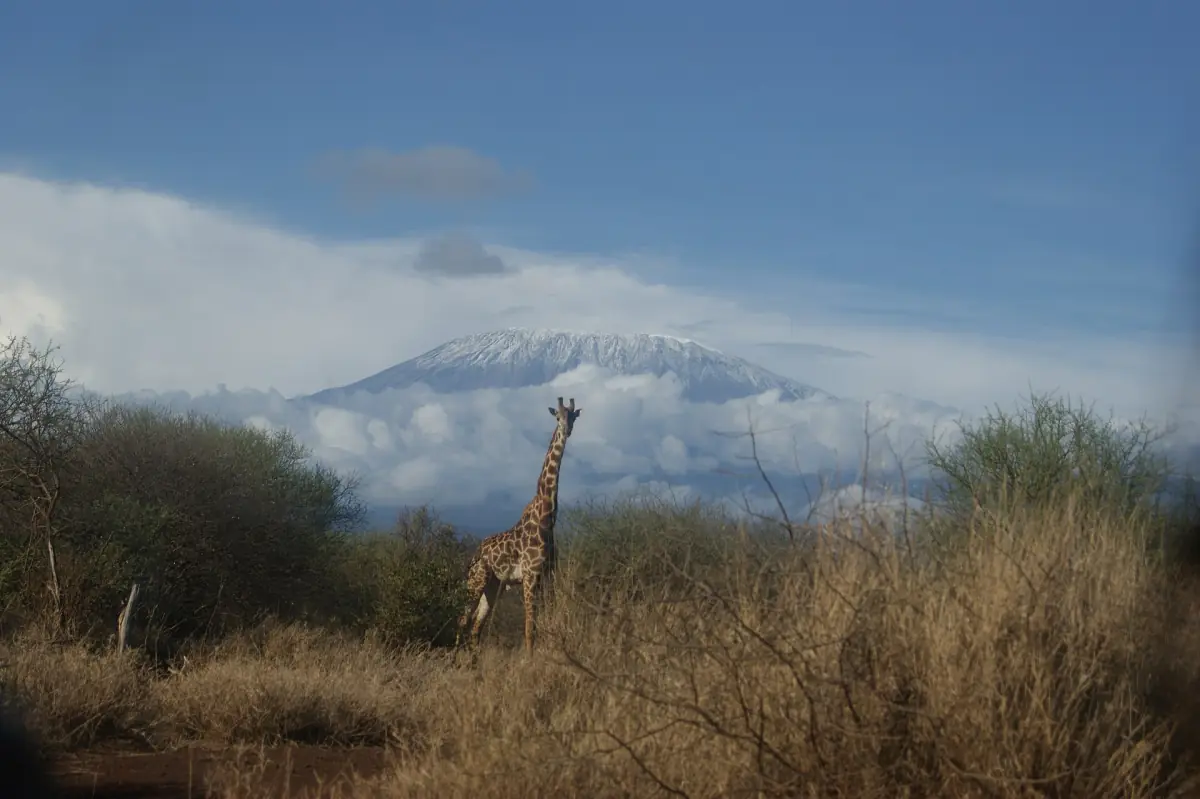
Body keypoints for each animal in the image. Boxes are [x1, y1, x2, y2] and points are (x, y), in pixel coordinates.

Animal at [455, 396, 582, 653]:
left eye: (573, 416)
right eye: (557, 416)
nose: (566, 430)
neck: (547, 518)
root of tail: (474, 555)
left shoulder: (548, 576)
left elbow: (543, 623)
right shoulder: (530, 576)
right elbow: (529, 628)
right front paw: (529, 659)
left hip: (493, 586)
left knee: (475, 628)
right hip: (476, 581)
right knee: (462, 621)